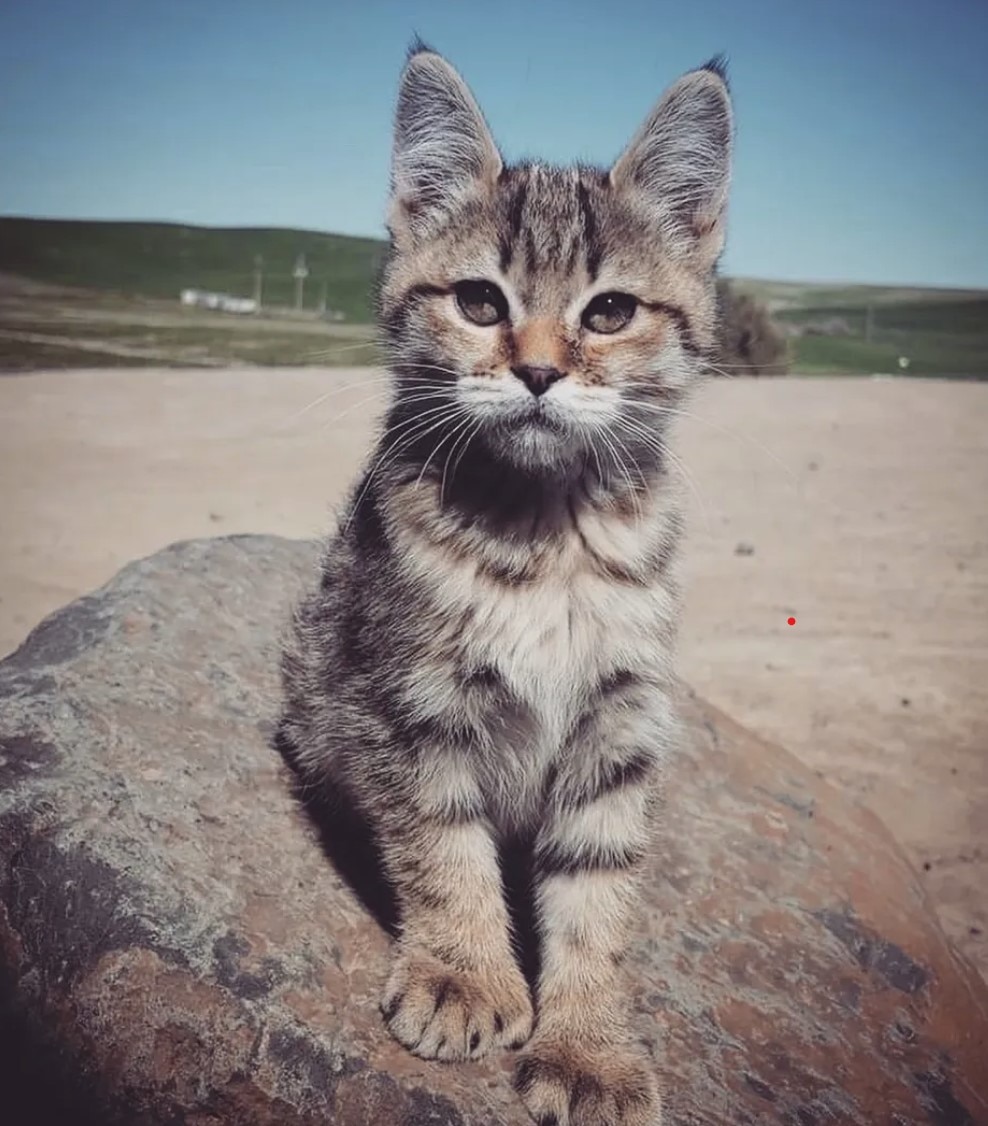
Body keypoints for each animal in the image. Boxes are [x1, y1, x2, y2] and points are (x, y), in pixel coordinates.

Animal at [281, 39, 730, 1126]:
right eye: (481, 301)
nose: (535, 371)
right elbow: (443, 849)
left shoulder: (618, 724)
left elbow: (599, 892)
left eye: (609, 311)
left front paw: (588, 1045)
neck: (545, 535)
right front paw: (464, 974)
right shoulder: (407, 703)